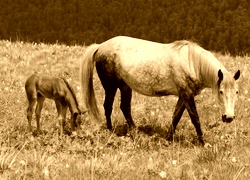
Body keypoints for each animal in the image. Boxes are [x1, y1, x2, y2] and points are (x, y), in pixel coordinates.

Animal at [80, 35, 240, 144]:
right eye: (220, 92)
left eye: (236, 92)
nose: (229, 117)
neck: (193, 63)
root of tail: (100, 46)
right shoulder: (187, 95)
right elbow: (195, 118)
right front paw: (202, 142)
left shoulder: (183, 96)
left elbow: (176, 117)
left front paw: (169, 138)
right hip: (111, 86)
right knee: (108, 106)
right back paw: (110, 130)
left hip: (125, 87)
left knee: (125, 107)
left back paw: (135, 131)